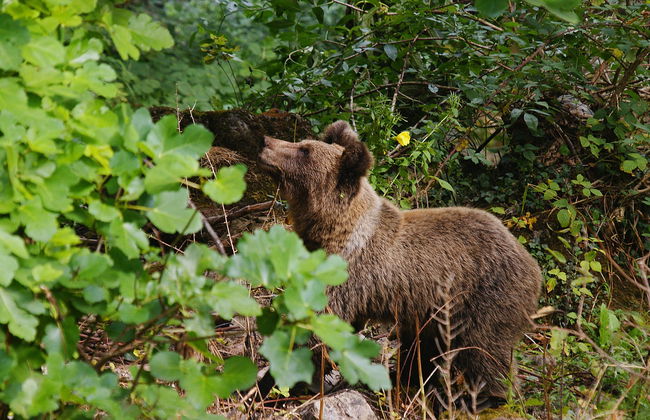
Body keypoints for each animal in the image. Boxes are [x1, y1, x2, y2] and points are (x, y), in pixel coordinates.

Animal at [259, 120, 542, 410]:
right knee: (426, 346)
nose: (265, 141)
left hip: (484, 296)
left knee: (484, 348)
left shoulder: (344, 275)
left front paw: (277, 384)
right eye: (303, 143)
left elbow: (315, 329)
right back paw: (406, 377)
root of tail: (532, 265)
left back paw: (484, 397)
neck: (332, 230)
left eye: (304, 150)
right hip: (434, 313)